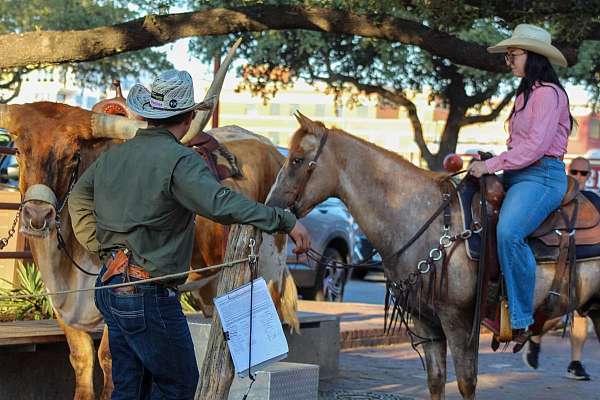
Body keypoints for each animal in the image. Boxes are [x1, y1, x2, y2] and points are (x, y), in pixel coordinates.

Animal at [268, 112, 600, 400]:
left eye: (297, 160)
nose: (271, 204)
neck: (425, 220)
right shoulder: (424, 321)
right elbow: (436, 380)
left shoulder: (458, 321)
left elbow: (466, 382)